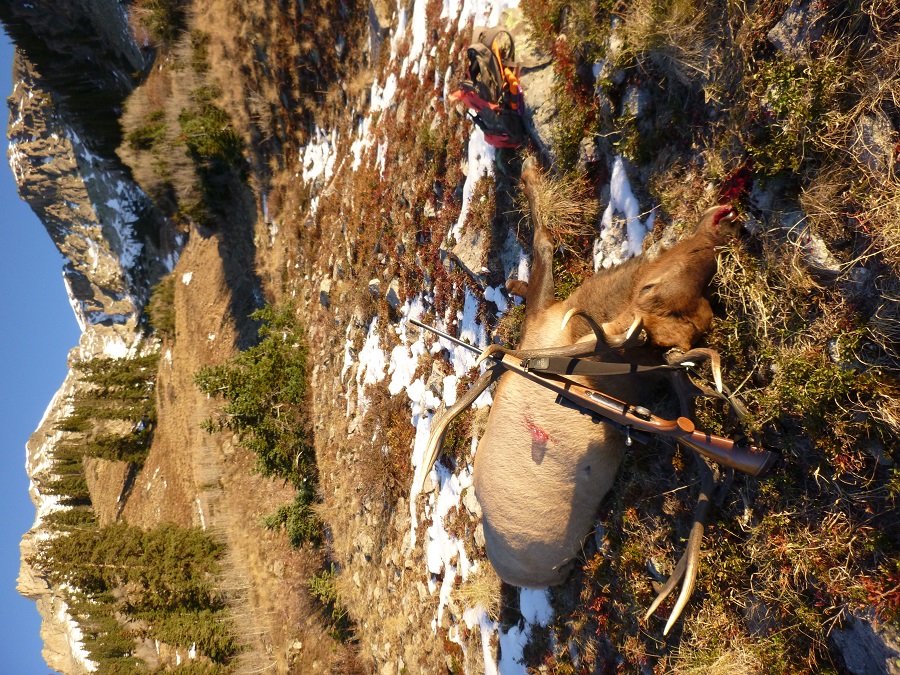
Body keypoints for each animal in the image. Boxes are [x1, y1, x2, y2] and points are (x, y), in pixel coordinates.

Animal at [416, 165, 745, 635]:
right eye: (651, 286)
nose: (724, 218)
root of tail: (533, 577)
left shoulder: (541, 323)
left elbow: (541, 242)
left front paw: (529, 173)